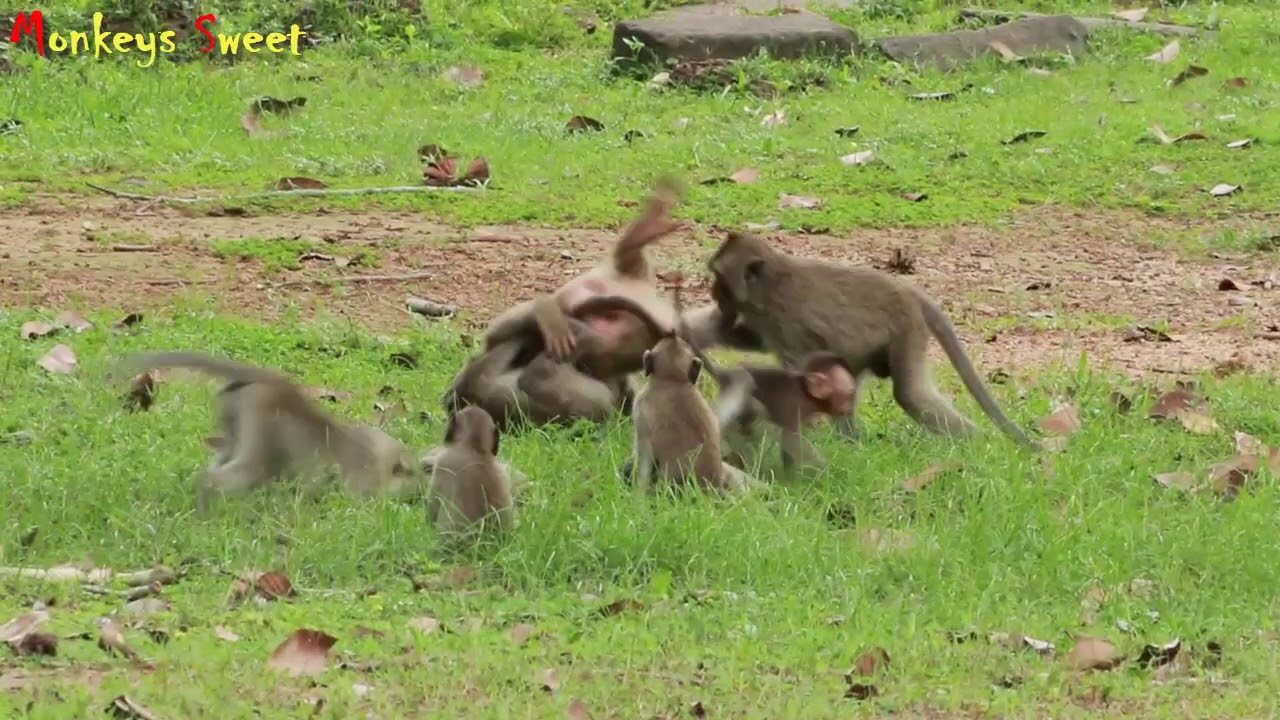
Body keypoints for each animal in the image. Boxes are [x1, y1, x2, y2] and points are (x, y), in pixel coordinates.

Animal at [116, 351, 422, 513]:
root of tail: (265, 380)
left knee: (225, 455)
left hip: (234, 419)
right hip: (262, 434)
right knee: (231, 474)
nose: (419, 493)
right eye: (411, 473)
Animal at [703, 231, 1039, 449]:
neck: (769, 285)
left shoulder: (789, 326)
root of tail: (908, 291)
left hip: (907, 329)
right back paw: (851, 443)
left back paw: (978, 445)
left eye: (719, 278)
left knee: (911, 395)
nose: (712, 293)